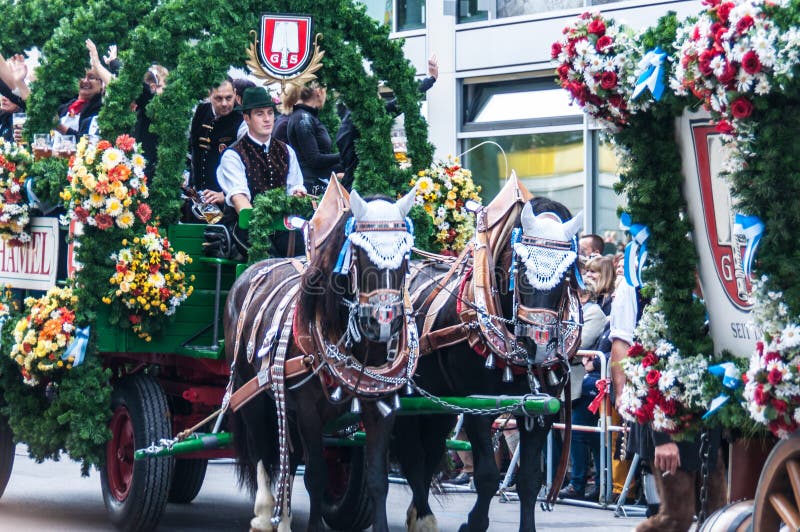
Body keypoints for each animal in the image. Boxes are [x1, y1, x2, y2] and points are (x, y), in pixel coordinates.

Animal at [222, 182, 416, 528]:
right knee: (262, 453)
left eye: (405, 255)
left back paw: (282, 515)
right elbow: (315, 475)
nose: (382, 321)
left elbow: (377, 479)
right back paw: (264, 514)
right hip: (249, 391)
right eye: (360, 254)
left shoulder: (381, 408)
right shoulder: (308, 409)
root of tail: (251, 271)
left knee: (288, 457)